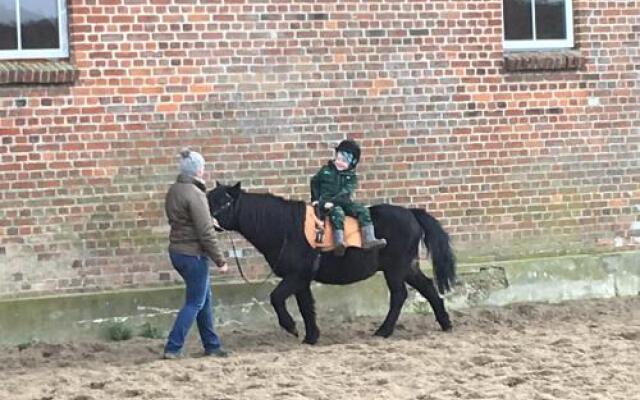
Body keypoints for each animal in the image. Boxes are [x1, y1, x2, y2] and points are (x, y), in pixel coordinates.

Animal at [209, 182, 456, 344]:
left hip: (395, 269)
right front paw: (311, 337)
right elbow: (306, 307)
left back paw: (383, 331)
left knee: (399, 296)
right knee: (428, 287)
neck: (285, 227)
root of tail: (412, 214)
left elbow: (276, 298)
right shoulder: (301, 280)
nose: (208, 219)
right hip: (407, 267)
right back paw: (445, 323)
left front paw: (292, 327)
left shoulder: (296, 276)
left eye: (223, 201)